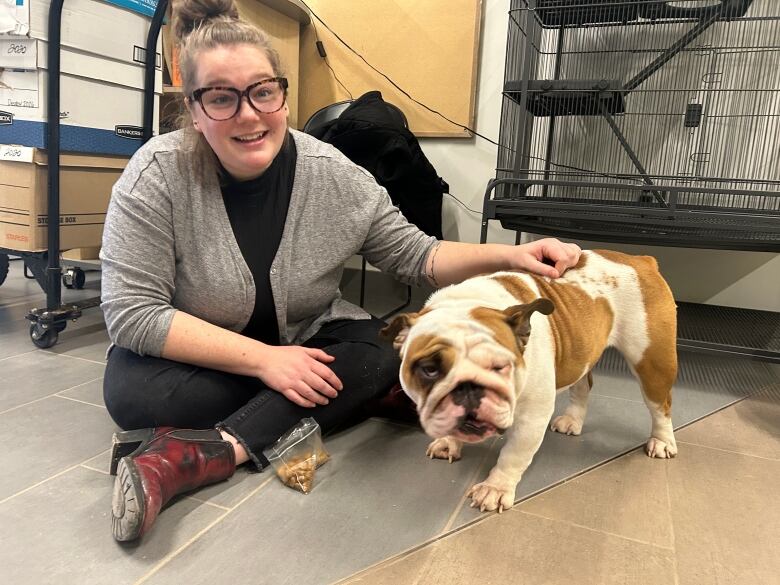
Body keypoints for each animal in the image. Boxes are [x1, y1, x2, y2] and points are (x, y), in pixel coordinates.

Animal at [382, 250, 676, 512]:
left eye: (500, 366)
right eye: (429, 370)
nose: (467, 388)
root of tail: (641, 260)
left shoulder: (533, 415)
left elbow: (514, 453)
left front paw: (495, 488)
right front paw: (448, 442)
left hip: (652, 361)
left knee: (660, 405)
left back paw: (662, 441)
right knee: (583, 385)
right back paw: (573, 420)